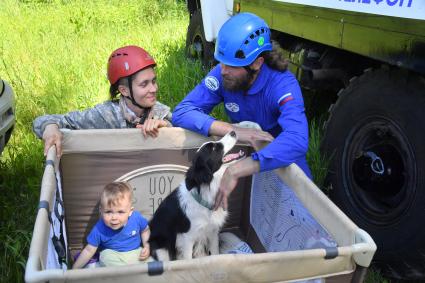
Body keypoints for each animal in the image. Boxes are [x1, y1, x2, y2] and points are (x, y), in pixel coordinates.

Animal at [147, 131, 243, 262]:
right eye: (214, 148)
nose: (233, 132)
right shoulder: (187, 238)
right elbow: (188, 261)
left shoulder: (213, 232)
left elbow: (215, 254)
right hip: (162, 246)